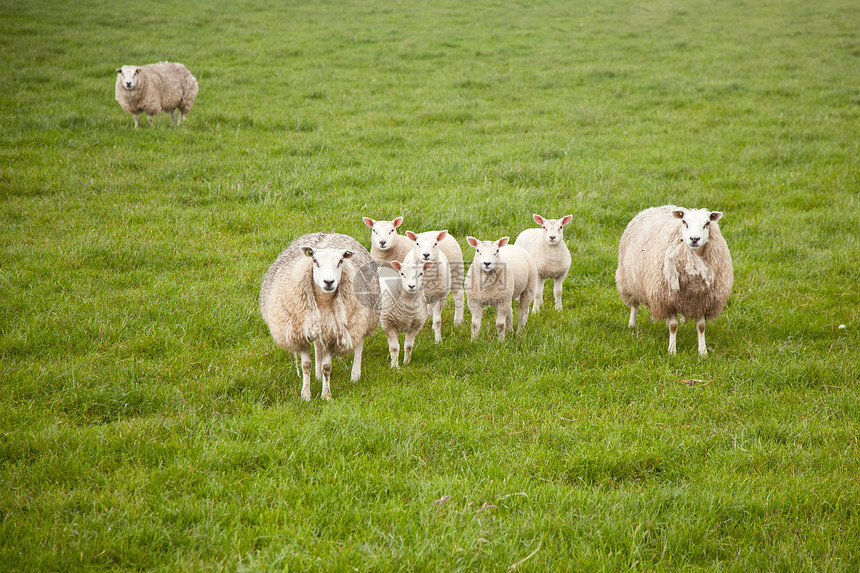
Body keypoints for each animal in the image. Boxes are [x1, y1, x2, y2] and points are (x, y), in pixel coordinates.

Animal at [258, 231, 380, 398]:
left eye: (340, 261)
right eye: (315, 261)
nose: (328, 282)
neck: (323, 301)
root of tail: (329, 233)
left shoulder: (333, 335)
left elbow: (327, 366)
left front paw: (326, 395)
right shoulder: (300, 334)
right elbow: (306, 365)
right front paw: (306, 394)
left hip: (361, 319)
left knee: (358, 344)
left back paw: (355, 375)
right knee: (317, 345)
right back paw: (316, 375)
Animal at [616, 203, 736, 356]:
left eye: (707, 223)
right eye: (684, 222)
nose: (694, 239)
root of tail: (659, 206)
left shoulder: (702, 300)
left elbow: (701, 326)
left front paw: (703, 352)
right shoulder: (668, 299)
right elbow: (673, 326)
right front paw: (672, 351)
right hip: (629, 280)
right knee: (634, 304)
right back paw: (632, 324)